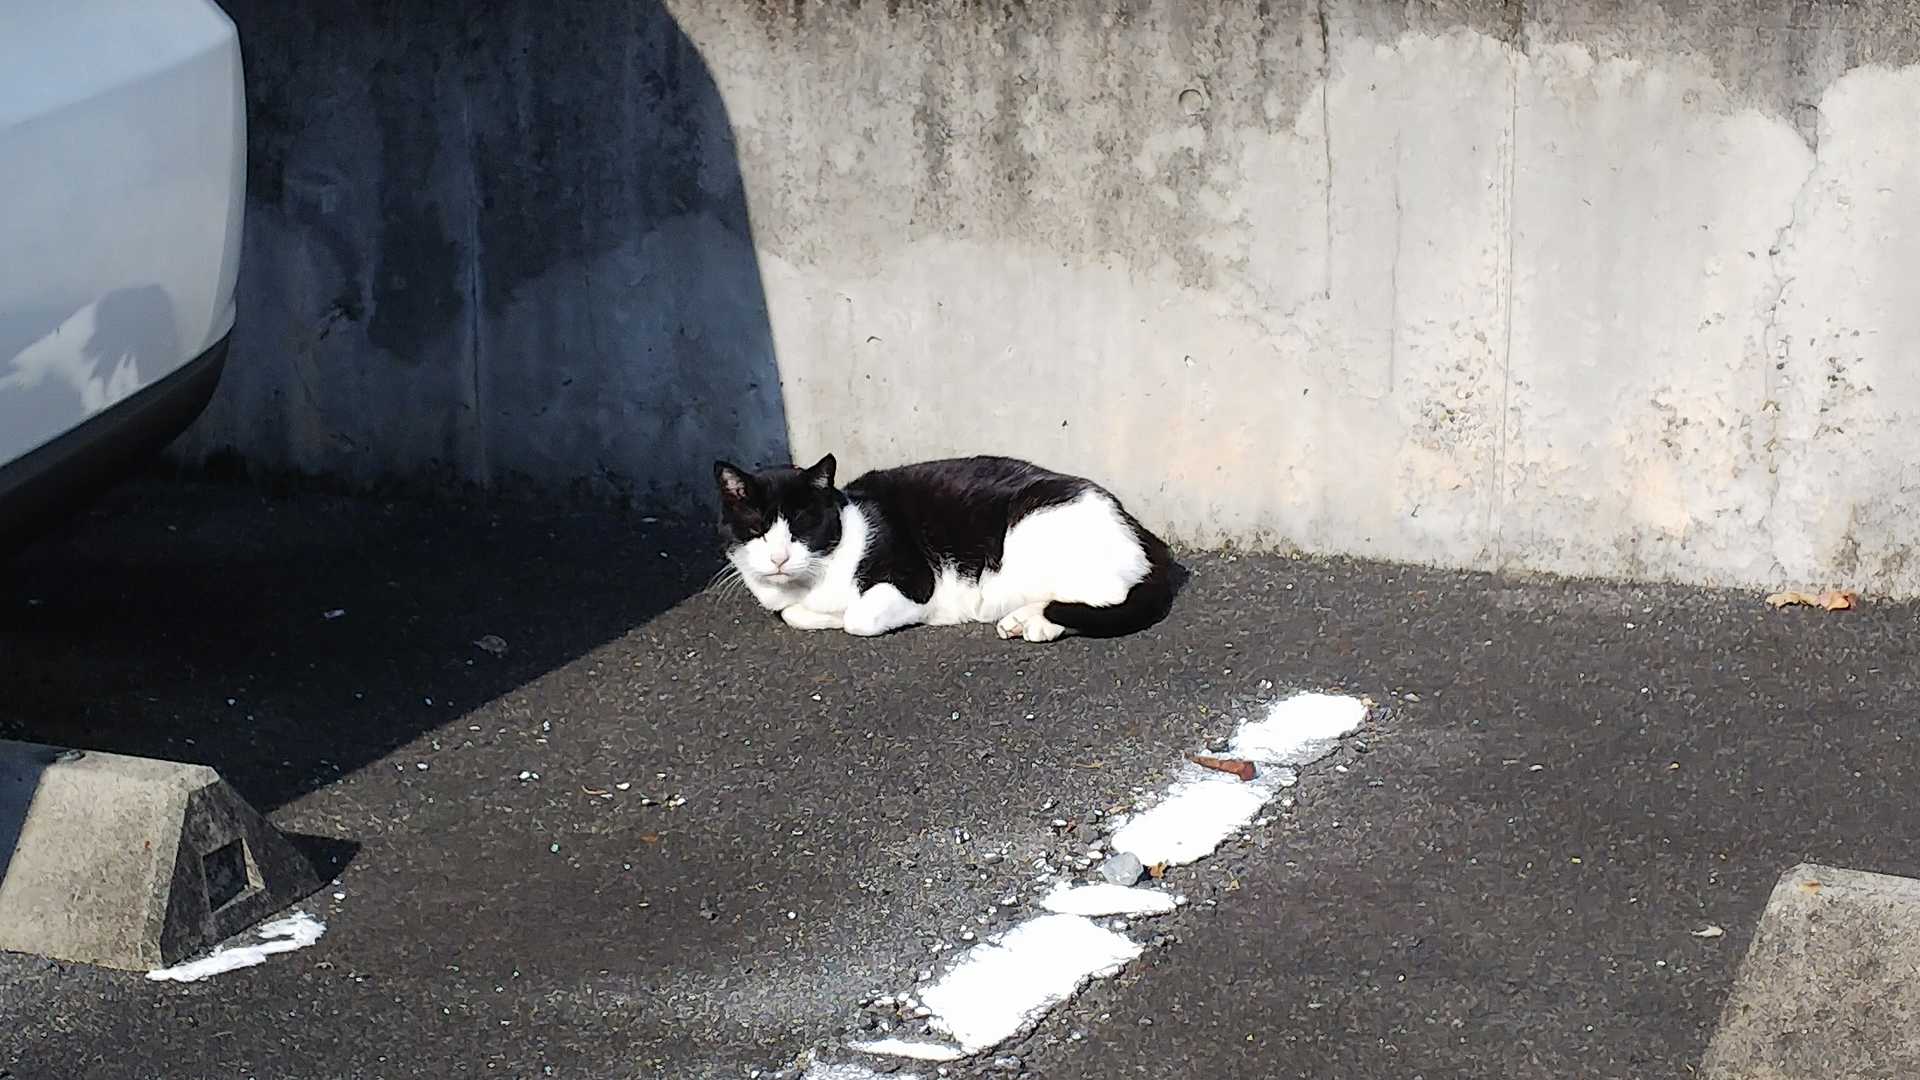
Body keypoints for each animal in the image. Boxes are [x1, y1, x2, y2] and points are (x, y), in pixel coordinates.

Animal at [712, 453, 1174, 641]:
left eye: (801, 524)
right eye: (757, 527)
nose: (779, 557)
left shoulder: (914, 578)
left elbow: (858, 618)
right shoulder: (785, 603)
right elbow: (793, 614)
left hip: (1033, 529)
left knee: (1102, 595)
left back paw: (1038, 622)